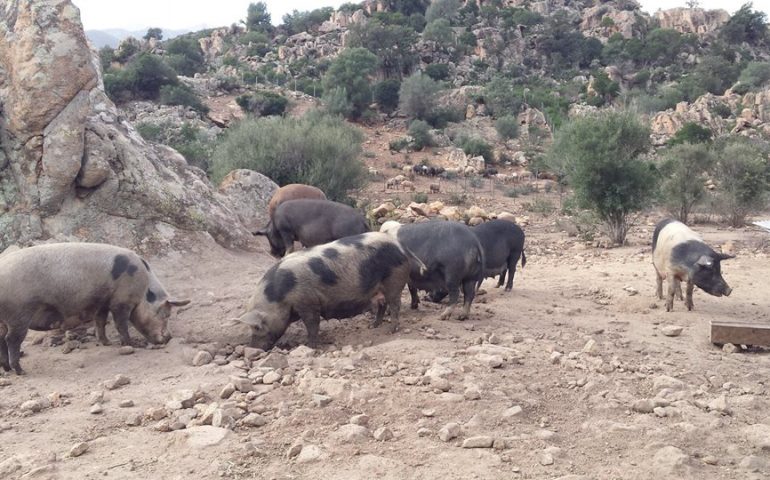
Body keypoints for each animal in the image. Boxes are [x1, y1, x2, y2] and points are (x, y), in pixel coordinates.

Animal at [0, 244, 189, 376]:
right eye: (165, 314)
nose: (169, 338)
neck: (143, 289)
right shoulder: (121, 302)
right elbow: (121, 324)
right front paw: (130, 344)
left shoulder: (102, 303)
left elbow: (101, 321)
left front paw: (107, 343)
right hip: (19, 314)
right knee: (11, 339)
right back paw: (21, 371)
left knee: (2, 339)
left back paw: (7, 369)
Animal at [236, 232, 424, 348]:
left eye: (257, 327)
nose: (253, 349)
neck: (279, 295)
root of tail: (400, 246)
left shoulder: (308, 303)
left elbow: (312, 324)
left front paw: (309, 346)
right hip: (377, 288)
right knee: (382, 305)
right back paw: (373, 326)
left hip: (394, 280)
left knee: (395, 305)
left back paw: (391, 330)